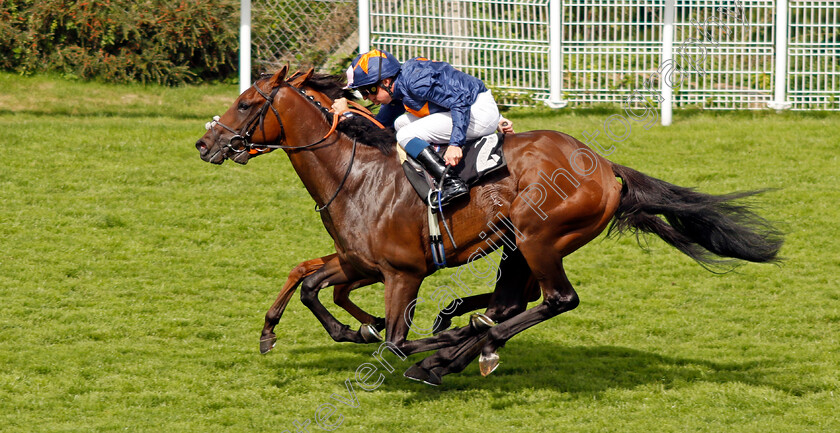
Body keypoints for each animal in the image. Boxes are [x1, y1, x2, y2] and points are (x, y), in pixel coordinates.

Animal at [195, 66, 780, 384]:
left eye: (246, 102)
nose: (204, 143)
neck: (354, 174)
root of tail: (604, 166)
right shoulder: (358, 262)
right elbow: (310, 283)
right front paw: (293, 331)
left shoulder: (402, 273)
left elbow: (396, 342)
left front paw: (425, 340)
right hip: (520, 246)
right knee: (518, 302)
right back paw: (465, 341)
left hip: (539, 238)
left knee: (553, 300)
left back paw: (457, 348)